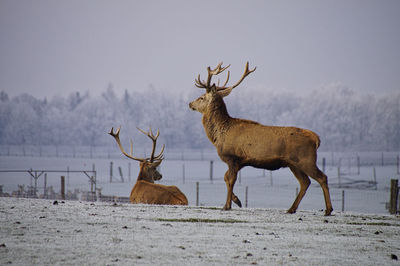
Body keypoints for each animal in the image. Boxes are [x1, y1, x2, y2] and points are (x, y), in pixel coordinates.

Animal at [189, 62, 332, 216]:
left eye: (201, 97)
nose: (190, 104)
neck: (218, 135)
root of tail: (316, 139)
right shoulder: (239, 162)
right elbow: (226, 178)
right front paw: (237, 201)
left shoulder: (232, 157)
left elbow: (229, 179)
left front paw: (227, 205)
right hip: (293, 163)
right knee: (305, 182)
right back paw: (291, 209)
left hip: (306, 159)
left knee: (322, 177)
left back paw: (328, 210)